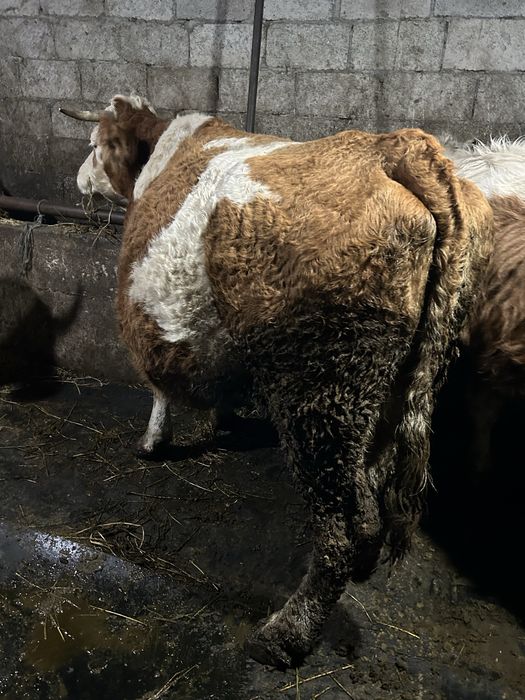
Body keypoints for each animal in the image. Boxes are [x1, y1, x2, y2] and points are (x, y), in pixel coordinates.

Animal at [61, 95, 493, 668]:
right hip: (391, 387)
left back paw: (285, 636)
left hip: (318, 394)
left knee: (337, 534)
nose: (79, 178)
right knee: (368, 496)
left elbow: (159, 390)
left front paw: (154, 441)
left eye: (94, 145)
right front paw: (216, 421)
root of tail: (393, 147)